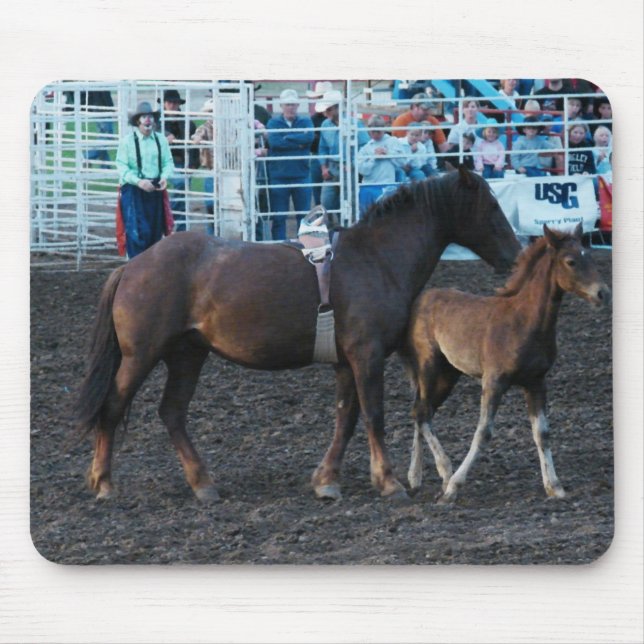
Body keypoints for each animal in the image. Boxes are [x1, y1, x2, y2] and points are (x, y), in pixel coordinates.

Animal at [75, 166, 521, 503]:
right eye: (491, 206)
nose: (516, 257)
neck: (375, 258)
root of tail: (132, 267)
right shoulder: (367, 355)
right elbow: (373, 415)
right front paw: (389, 482)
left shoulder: (346, 362)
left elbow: (346, 418)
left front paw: (327, 481)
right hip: (142, 355)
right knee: (113, 406)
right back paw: (104, 482)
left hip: (187, 355)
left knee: (172, 413)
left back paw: (202, 483)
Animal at [402, 223, 610, 503]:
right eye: (571, 261)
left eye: (590, 256)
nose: (603, 293)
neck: (524, 321)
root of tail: (421, 298)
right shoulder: (494, 381)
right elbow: (483, 433)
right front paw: (454, 487)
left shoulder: (536, 382)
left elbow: (542, 433)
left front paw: (555, 487)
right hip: (429, 367)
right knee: (422, 412)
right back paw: (444, 474)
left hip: (448, 374)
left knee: (421, 411)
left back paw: (416, 477)